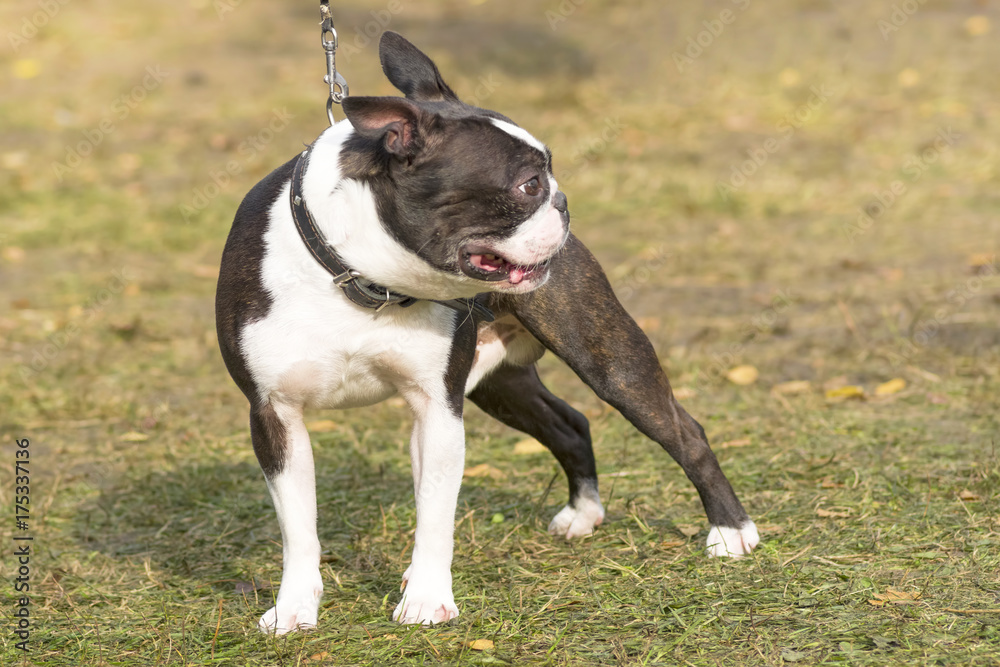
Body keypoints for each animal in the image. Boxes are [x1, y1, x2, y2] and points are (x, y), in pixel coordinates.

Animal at [215, 32, 752, 636]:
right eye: (528, 184)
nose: (563, 202)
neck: (359, 278)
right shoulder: (275, 414)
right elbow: (299, 528)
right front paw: (293, 609)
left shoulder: (438, 407)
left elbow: (434, 516)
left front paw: (426, 601)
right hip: (500, 385)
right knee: (570, 423)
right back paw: (583, 512)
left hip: (609, 359)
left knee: (685, 430)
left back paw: (731, 532)